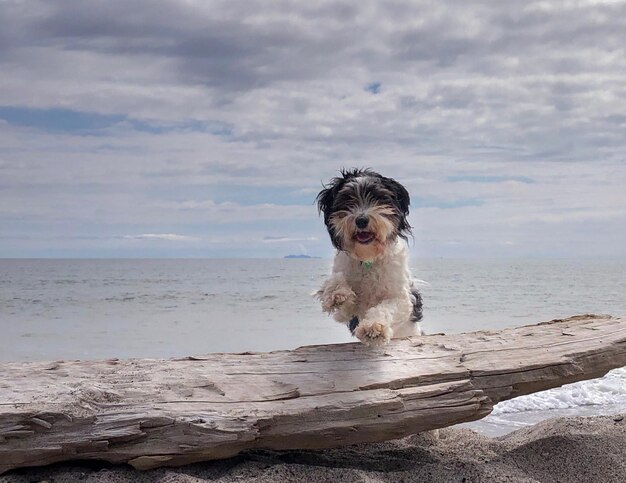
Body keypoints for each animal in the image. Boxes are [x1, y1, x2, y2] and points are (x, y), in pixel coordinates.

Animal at [314, 168, 422, 346]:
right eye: (348, 199)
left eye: (379, 198)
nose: (361, 220)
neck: (368, 259)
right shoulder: (345, 315)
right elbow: (336, 283)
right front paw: (337, 293)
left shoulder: (402, 299)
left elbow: (386, 308)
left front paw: (373, 328)